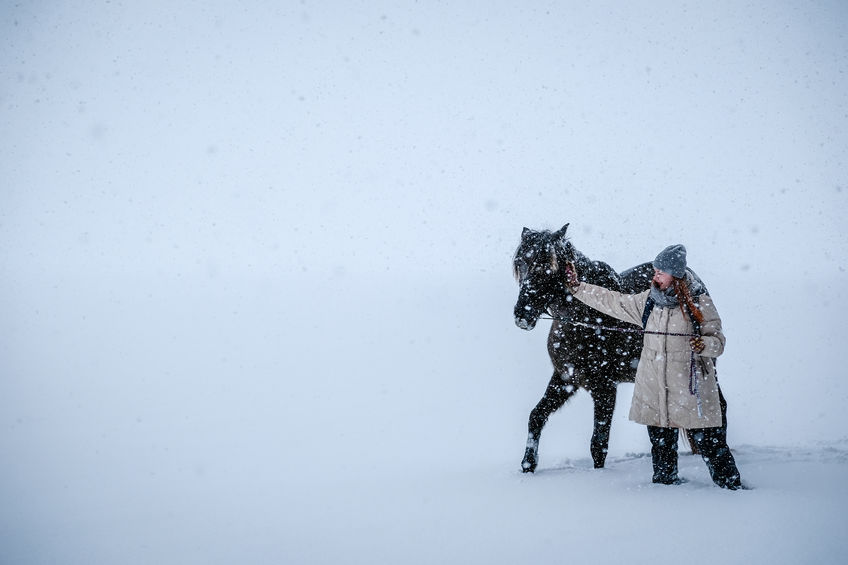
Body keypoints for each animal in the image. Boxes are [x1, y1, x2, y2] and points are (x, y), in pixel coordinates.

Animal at [510, 225, 656, 472]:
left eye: (547, 266)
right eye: (520, 263)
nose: (522, 315)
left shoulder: (605, 388)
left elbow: (599, 444)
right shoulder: (565, 379)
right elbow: (536, 416)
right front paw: (528, 465)